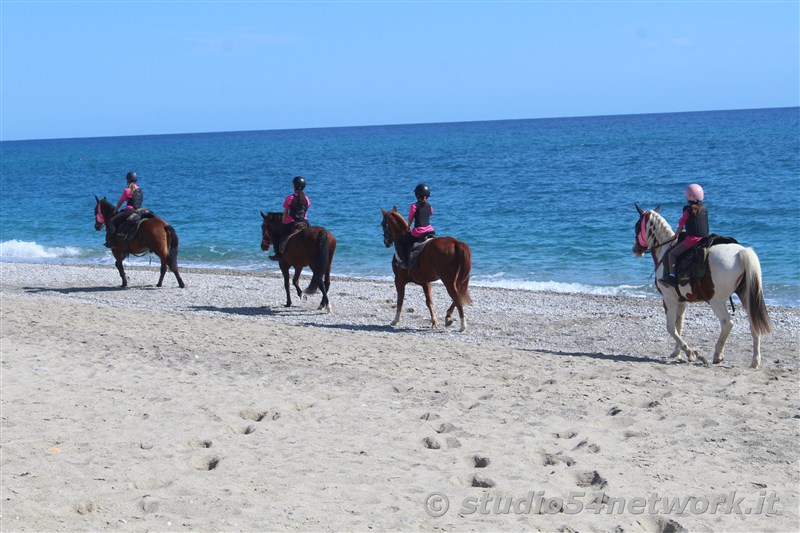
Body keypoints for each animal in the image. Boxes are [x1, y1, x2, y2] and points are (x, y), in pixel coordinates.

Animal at [636, 206, 772, 368]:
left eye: (637, 226)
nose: (635, 249)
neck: (665, 250)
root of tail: (741, 252)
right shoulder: (681, 301)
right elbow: (679, 326)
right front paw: (677, 352)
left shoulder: (669, 299)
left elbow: (671, 327)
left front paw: (691, 353)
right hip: (745, 295)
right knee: (753, 325)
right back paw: (755, 361)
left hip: (716, 301)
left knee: (727, 324)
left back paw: (717, 355)